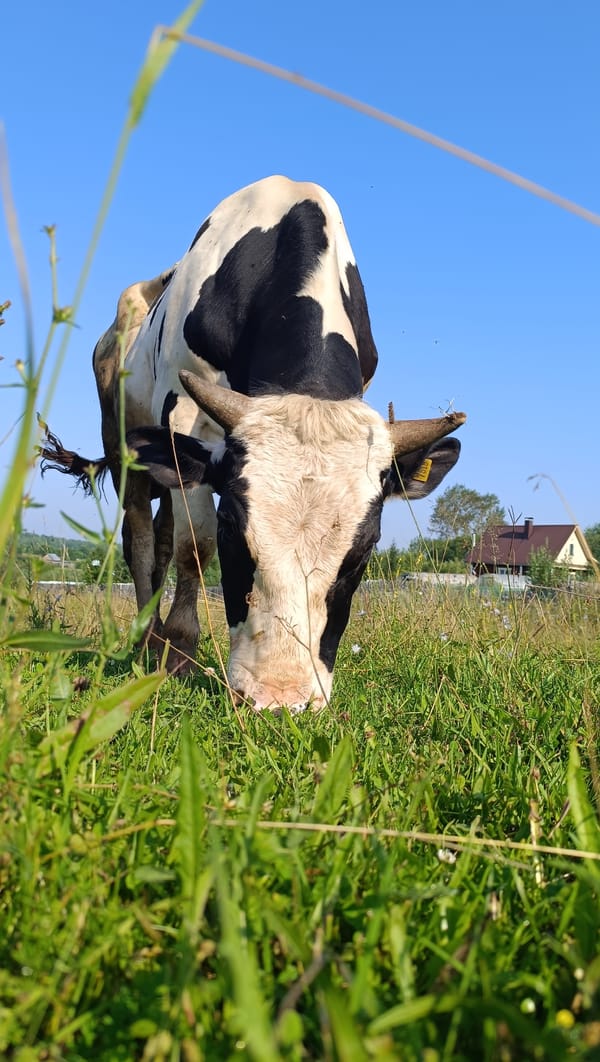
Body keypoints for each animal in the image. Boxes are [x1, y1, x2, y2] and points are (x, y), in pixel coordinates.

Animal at [40, 175, 465, 711]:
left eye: (366, 550)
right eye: (231, 530)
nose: (280, 697)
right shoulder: (186, 416)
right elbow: (195, 547)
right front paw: (180, 653)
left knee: (161, 534)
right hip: (125, 454)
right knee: (140, 539)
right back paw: (147, 638)